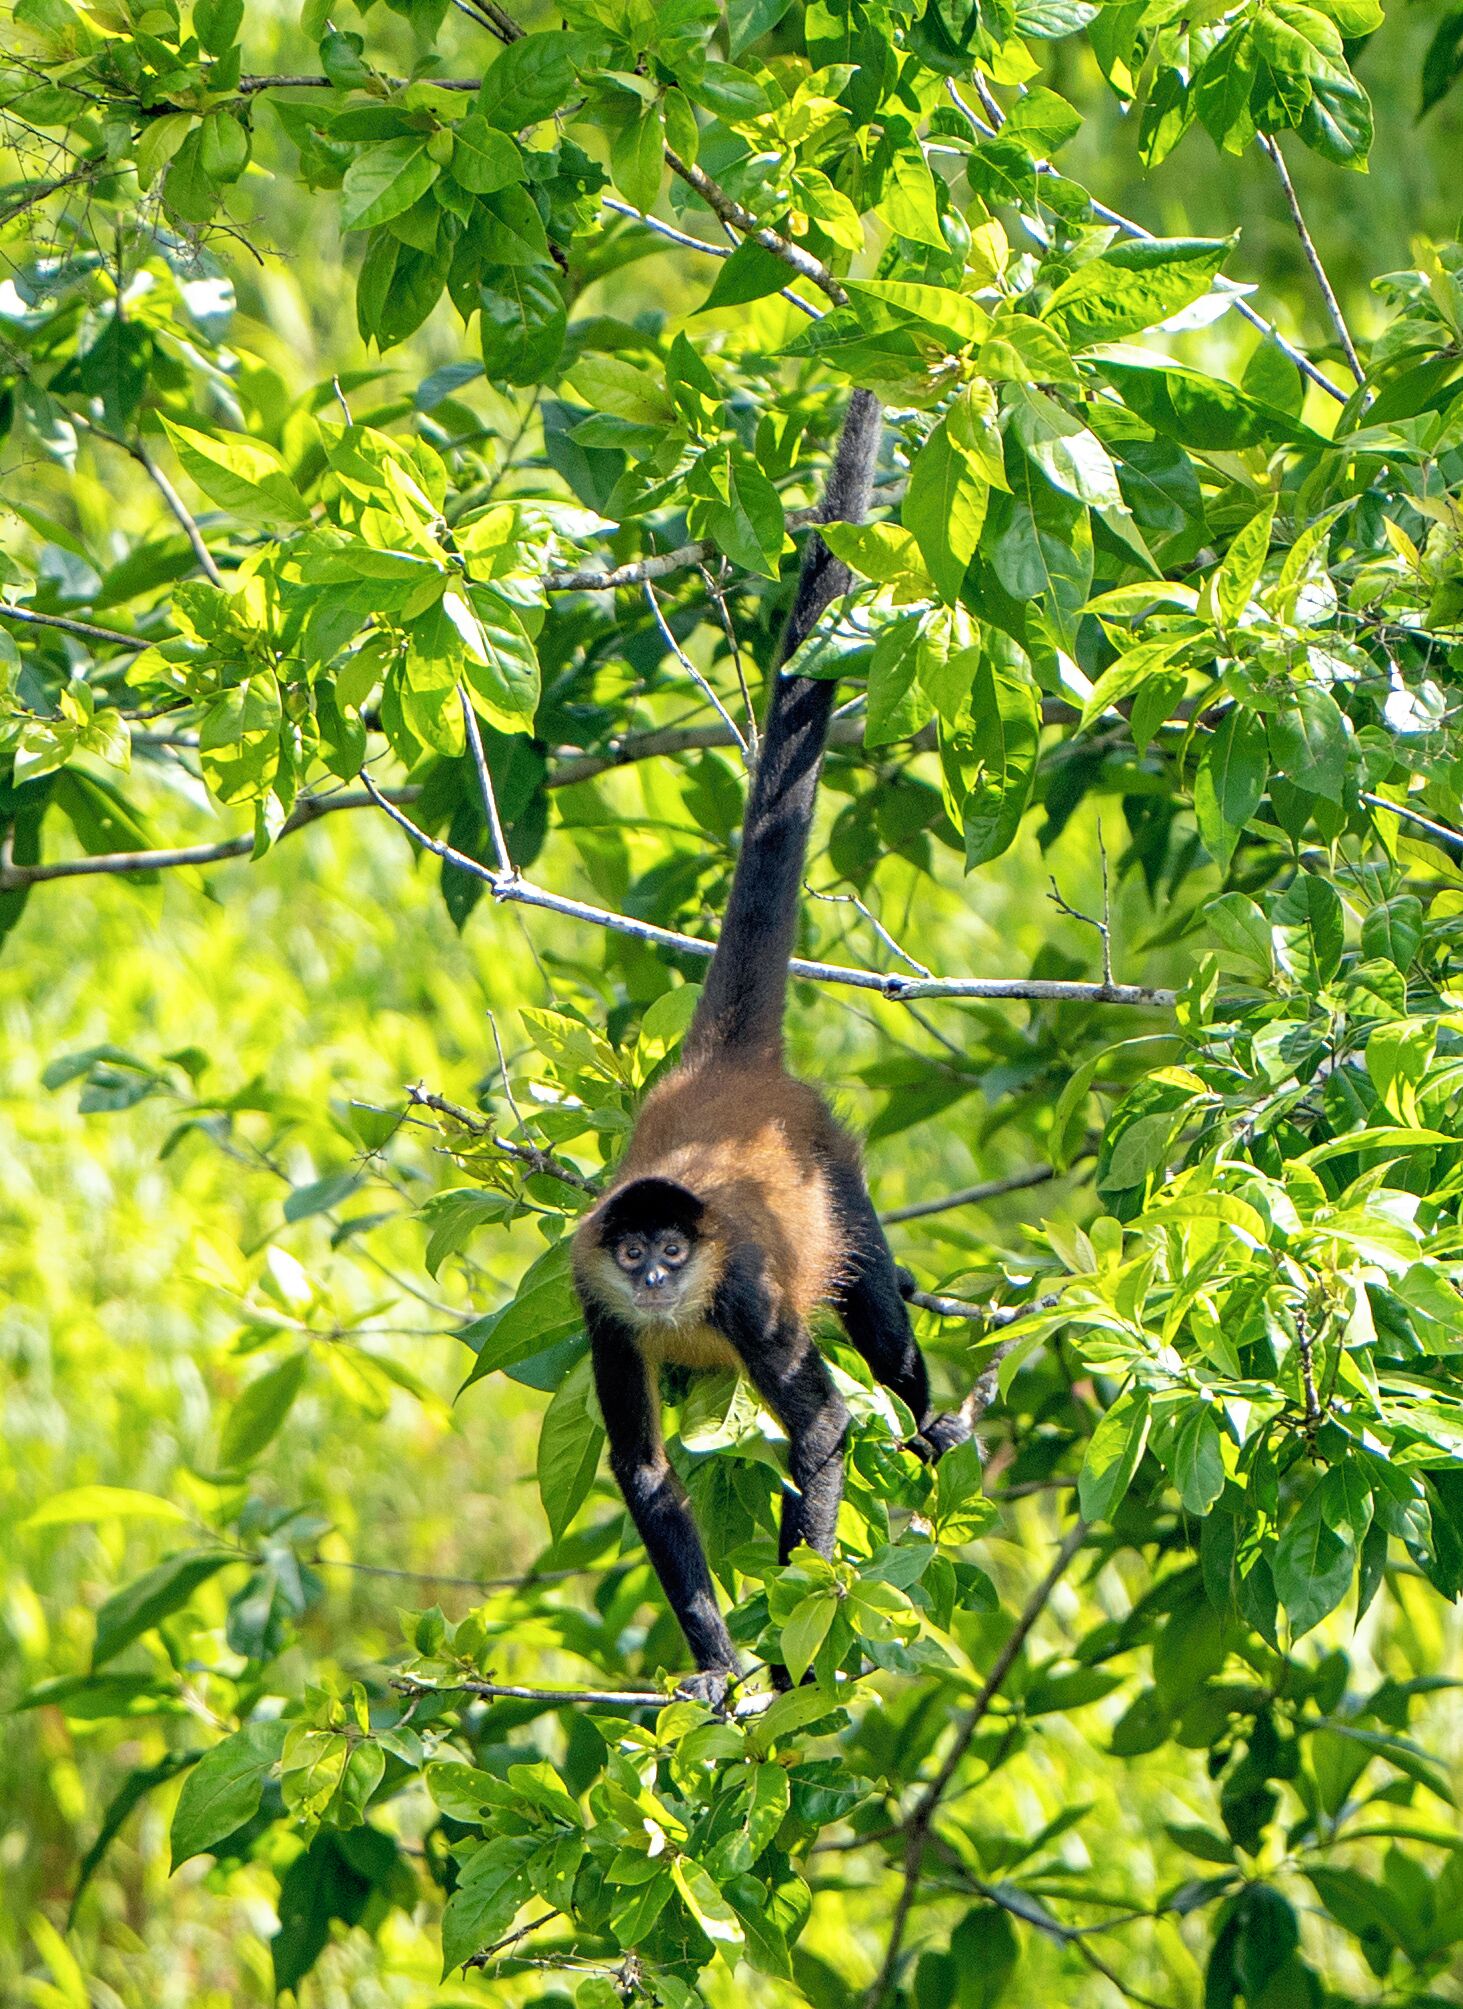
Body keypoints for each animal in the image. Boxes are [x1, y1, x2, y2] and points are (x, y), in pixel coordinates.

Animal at [571, 390, 972, 1703]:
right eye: (630, 1253)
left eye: (671, 1251)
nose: (654, 1276)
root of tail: (725, 1072)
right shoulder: (589, 1296)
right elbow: (646, 1471)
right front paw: (714, 1664)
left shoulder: (741, 1283)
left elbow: (825, 1425)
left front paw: (797, 1657)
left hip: (828, 1161)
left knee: (876, 1318)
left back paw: (929, 1420)